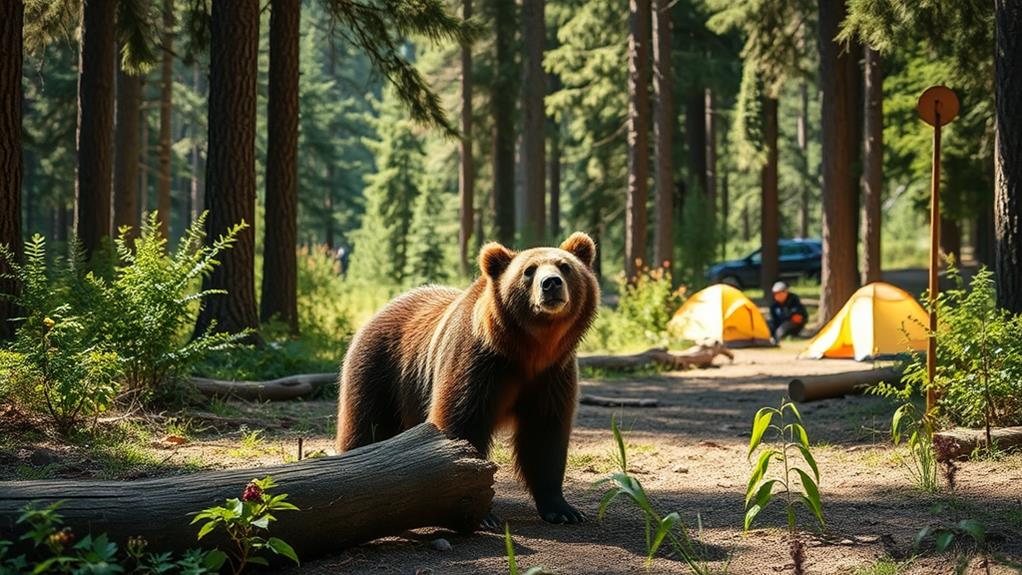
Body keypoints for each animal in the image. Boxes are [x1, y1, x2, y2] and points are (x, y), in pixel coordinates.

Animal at [335, 232, 600, 528]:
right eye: (529, 270)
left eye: (565, 266)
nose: (551, 283)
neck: (528, 350)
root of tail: (382, 309)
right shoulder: (478, 364)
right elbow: (460, 422)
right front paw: (480, 510)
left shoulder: (552, 375)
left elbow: (545, 435)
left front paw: (564, 509)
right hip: (379, 369)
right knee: (365, 424)